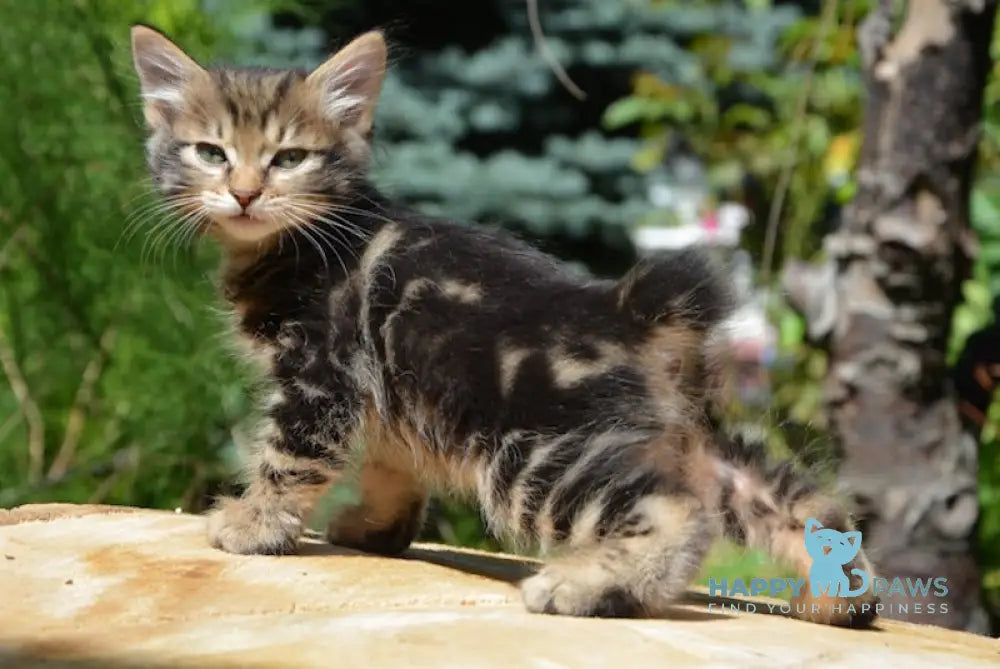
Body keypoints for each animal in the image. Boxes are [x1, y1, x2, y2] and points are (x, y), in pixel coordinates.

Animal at [129, 23, 880, 624]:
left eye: (289, 158)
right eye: (211, 152)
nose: (245, 193)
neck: (300, 241)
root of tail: (630, 312)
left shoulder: (320, 374)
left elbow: (288, 456)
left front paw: (254, 522)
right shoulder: (390, 395)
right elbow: (391, 460)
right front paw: (377, 527)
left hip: (539, 452)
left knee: (677, 514)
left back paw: (586, 586)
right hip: (690, 438)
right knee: (795, 501)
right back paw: (838, 597)